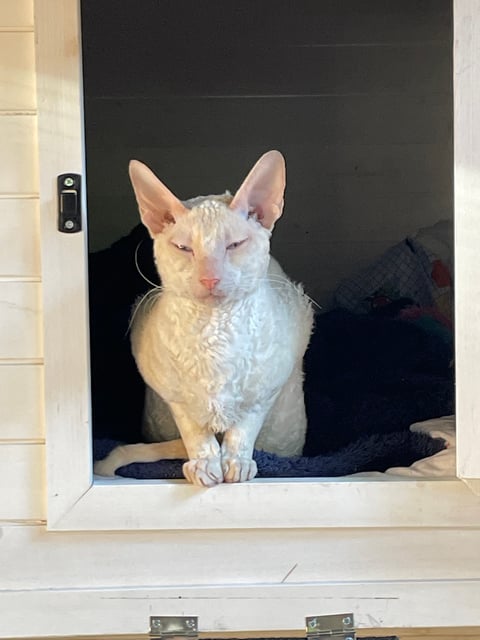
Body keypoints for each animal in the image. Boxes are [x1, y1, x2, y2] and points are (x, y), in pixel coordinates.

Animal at [94, 152, 314, 488]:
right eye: (184, 248)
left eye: (235, 244)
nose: (210, 278)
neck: (215, 331)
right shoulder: (173, 394)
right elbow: (194, 432)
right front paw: (204, 464)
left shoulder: (266, 388)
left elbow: (243, 428)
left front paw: (237, 462)